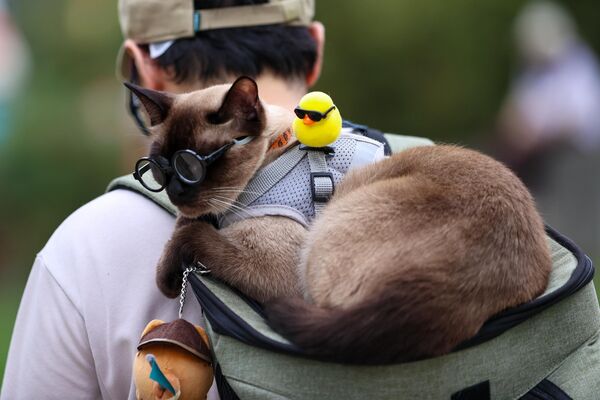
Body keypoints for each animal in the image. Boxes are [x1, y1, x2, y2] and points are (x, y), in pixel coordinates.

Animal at [126, 76, 552, 364]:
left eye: (190, 167)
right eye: (158, 168)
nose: (175, 193)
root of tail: (461, 291)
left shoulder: (274, 264)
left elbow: (194, 235)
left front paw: (168, 277)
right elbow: (188, 227)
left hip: (327, 233)